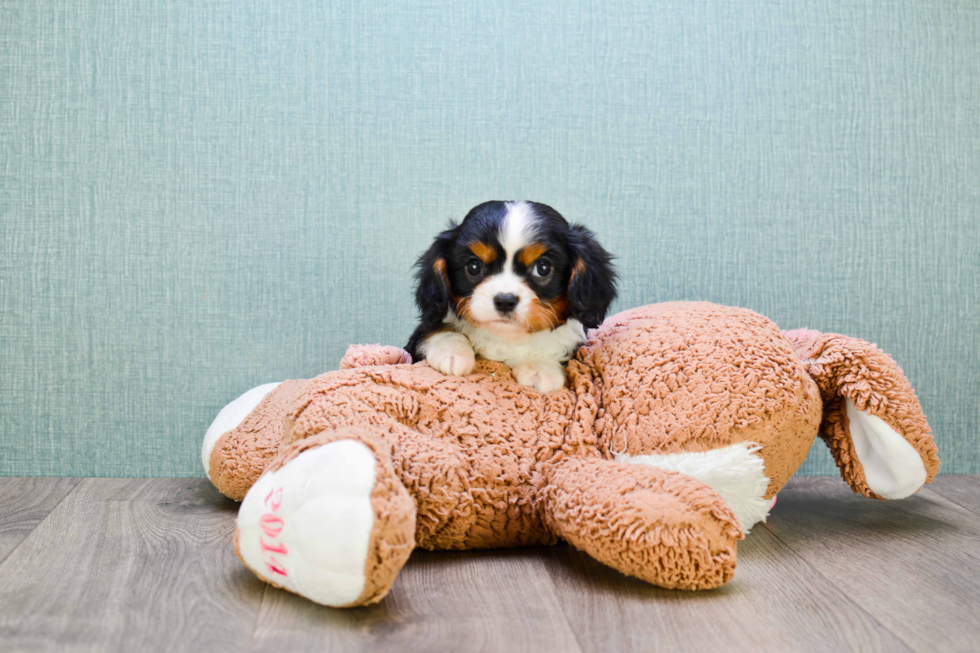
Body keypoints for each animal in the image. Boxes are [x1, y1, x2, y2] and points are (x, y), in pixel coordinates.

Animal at [404, 199, 616, 392]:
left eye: (543, 268)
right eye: (473, 266)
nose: (505, 301)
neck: (505, 337)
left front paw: (540, 367)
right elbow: (439, 328)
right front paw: (451, 352)